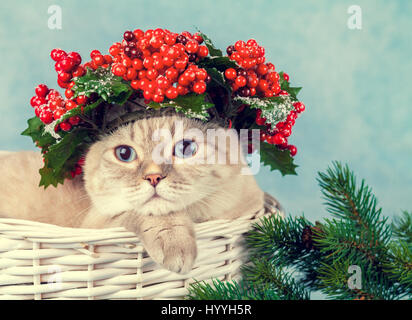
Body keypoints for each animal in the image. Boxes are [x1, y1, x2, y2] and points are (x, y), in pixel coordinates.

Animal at [0, 114, 268, 272]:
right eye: (124, 154)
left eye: (185, 148)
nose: (153, 177)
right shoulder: (96, 225)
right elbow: (152, 216)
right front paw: (175, 243)